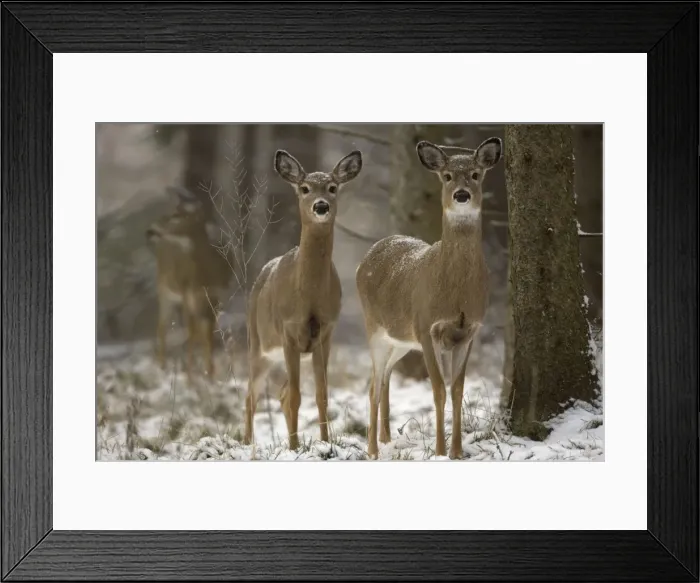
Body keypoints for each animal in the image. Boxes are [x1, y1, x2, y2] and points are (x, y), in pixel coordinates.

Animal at [146, 186, 232, 380]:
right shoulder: (187, 294)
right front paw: (191, 376)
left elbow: (209, 332)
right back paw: (162, 367)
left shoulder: (215, 296)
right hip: (166, 291)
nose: (151, 230)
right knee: (163, 326)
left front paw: (210, 373)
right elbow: (193, 331)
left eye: (177, 214)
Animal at [243, 148, 363, 450]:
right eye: (305, 188)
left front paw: (324, 443)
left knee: (280, 394)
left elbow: (321, 394)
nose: (321, 206)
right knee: (251, 396)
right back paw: (248, 443)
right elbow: (298, 397)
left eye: (332, 187)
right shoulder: (288, 331)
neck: (309, 296)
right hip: (258, 344)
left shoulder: (325, 333)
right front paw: (295, 447)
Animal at [355, 137, 503, 459]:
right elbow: (438, 389)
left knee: (385, 378)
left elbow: (458, 390)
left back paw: (385, 440)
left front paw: (457, 451)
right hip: (374, 327)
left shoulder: (469, 331)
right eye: (446, 176)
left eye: (475, 174)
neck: (456, 292)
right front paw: (439, 450)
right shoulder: (426, 327)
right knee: (373, 386)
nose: (461, 194)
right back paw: (372, 450)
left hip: (400, 339)